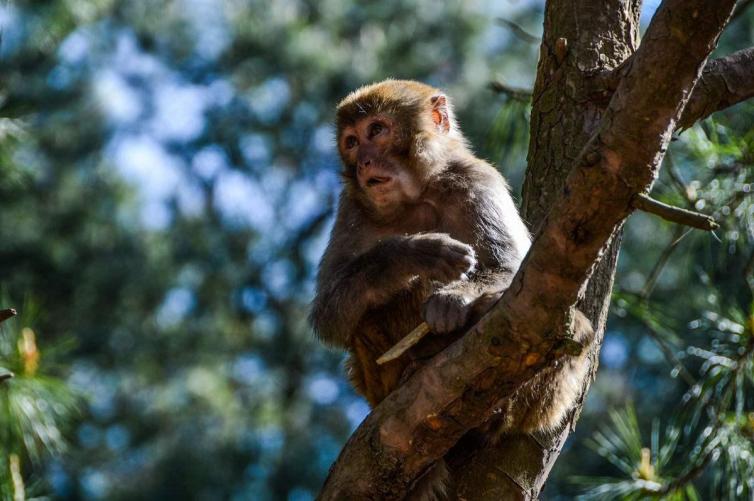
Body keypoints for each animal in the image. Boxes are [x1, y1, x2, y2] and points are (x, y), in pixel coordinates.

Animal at [308, 80, 592, 498]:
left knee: (575, 327)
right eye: (351, 142)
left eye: (376, 131)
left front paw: (455, 299)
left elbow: (514, 271)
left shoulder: (476, 179)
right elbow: (329, 314)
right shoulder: (351, 207)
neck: (416, 194)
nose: (363, 164)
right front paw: (411, 253)